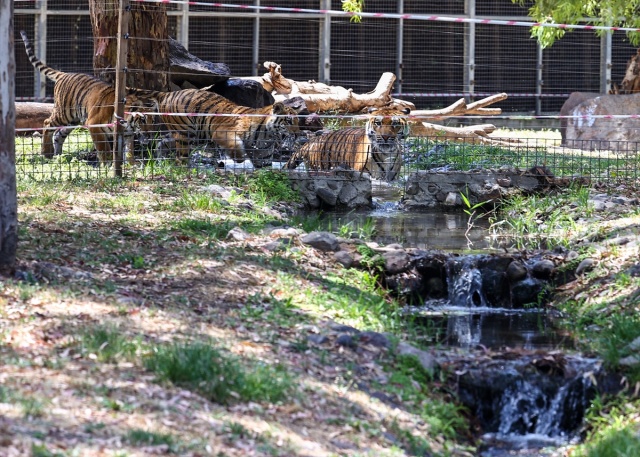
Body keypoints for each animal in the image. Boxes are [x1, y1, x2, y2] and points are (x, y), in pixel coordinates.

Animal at [20, 30, 156, 166]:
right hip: (64, 113)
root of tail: (64, 74)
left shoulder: (127, 134)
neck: (127, 124)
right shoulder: (94, 124)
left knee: (59, 134)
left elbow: (128, 150)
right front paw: (107, 164)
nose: (151, 135)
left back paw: (58, 156)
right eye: (143, 120)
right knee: (47, 123)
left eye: (153, 121)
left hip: (73, 120)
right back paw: (46, 153)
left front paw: (132, 164)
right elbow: (104, 148)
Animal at [127, 87, 302, 164]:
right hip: (185, 134)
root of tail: (167, 93)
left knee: (162, 142)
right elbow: (235, 144)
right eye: (288, 121)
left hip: (191, 135)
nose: (298, 134)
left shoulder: (264, 158)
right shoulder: (222, 132)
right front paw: (239, 158)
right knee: (180, 156)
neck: (268, 135)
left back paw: (162, 160)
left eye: (298, 122)